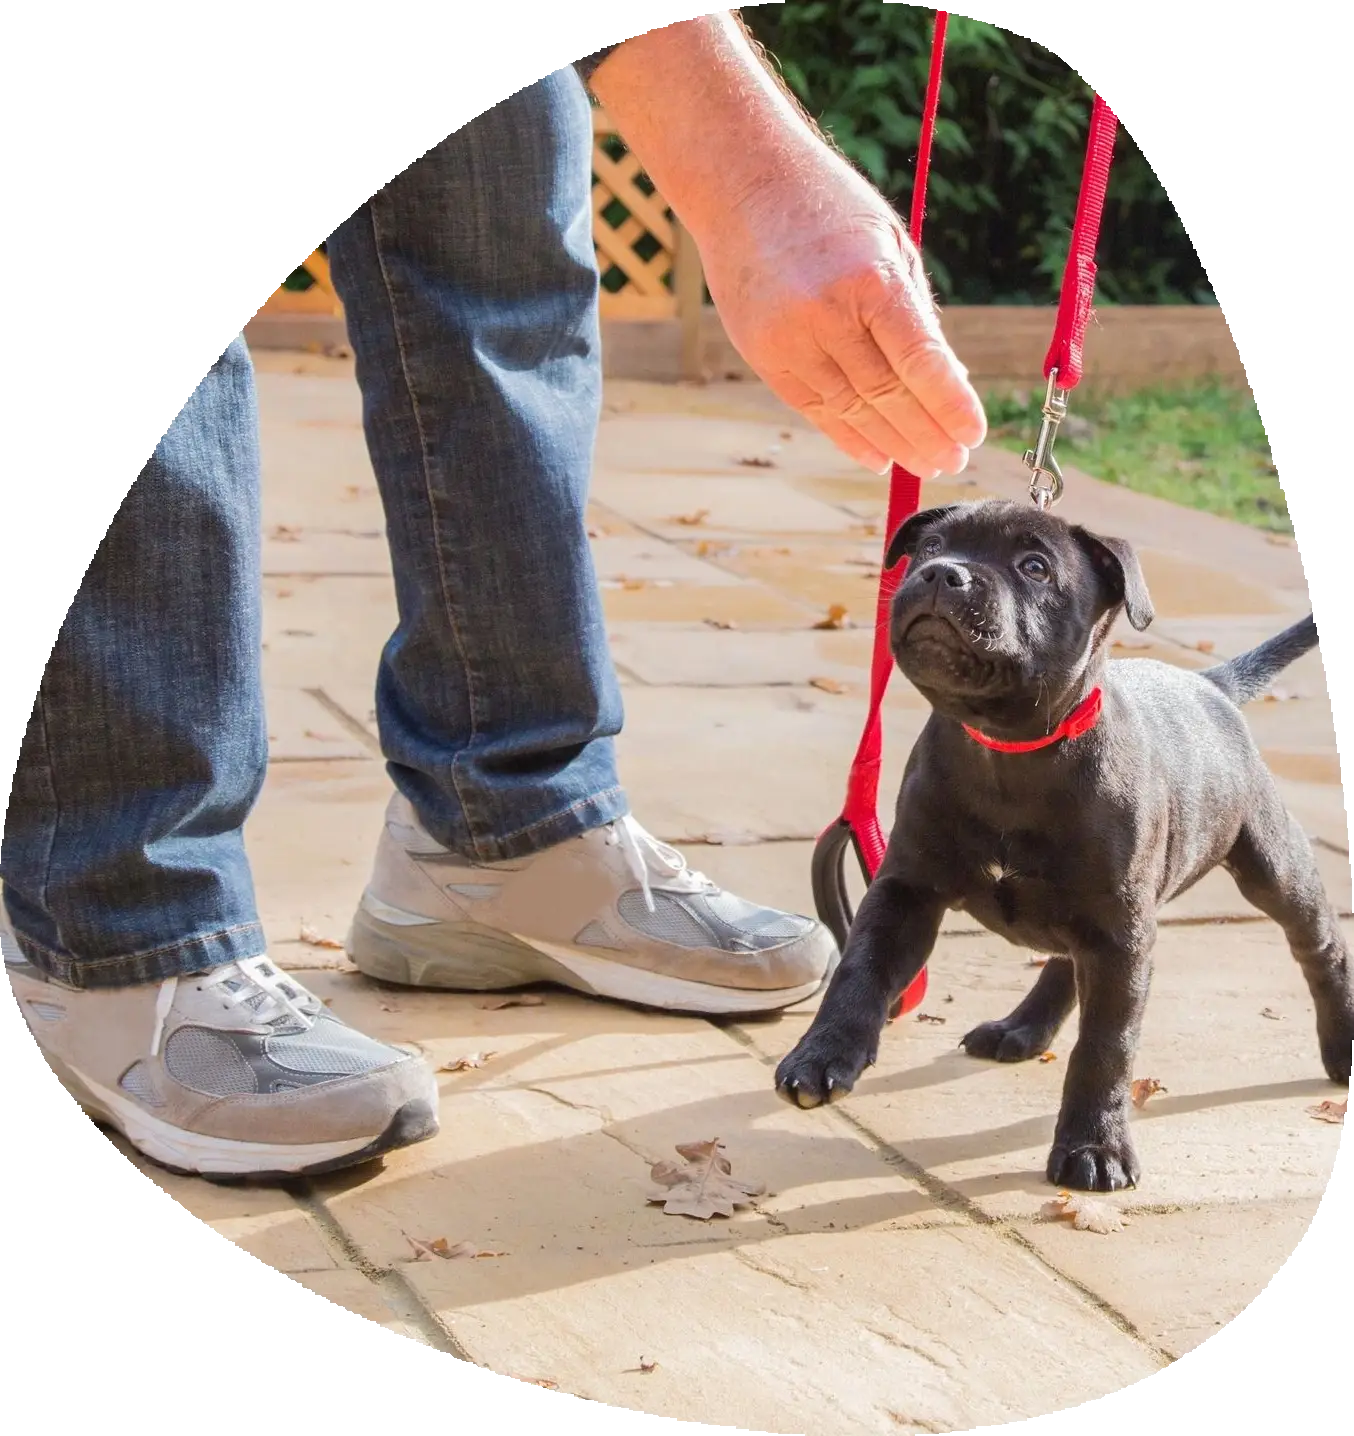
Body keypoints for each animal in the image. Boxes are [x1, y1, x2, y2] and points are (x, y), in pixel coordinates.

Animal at [781, 499, 1349, 1194]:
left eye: (1034, 566)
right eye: (931, 546)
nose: (943, 574)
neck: (1009, 748)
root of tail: (1211, 685)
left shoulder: (1122, 935)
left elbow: (1106, 1045)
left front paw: (1094, 1146)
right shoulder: (905, 890)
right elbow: (859, 970)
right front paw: (822, 1055)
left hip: (1270, 865)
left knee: (1318, 947)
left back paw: (1342, 1046)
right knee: (1063, 960)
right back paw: (1021, 1027)